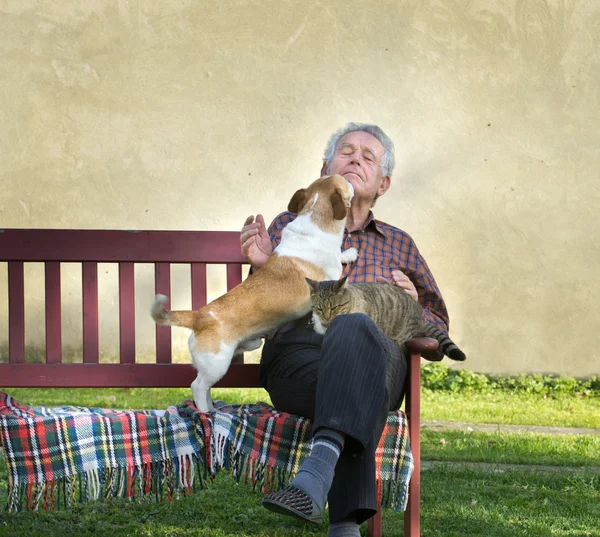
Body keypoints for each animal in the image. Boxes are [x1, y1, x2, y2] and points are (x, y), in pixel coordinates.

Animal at [150, 175, 356, 410]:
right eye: (345, 182)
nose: (352, 179)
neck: (314, 215)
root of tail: (198, 316)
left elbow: (341, 255)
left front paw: (349, 253)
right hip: (217, 364)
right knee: (198, 386)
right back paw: (204, 412)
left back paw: (211, 409)